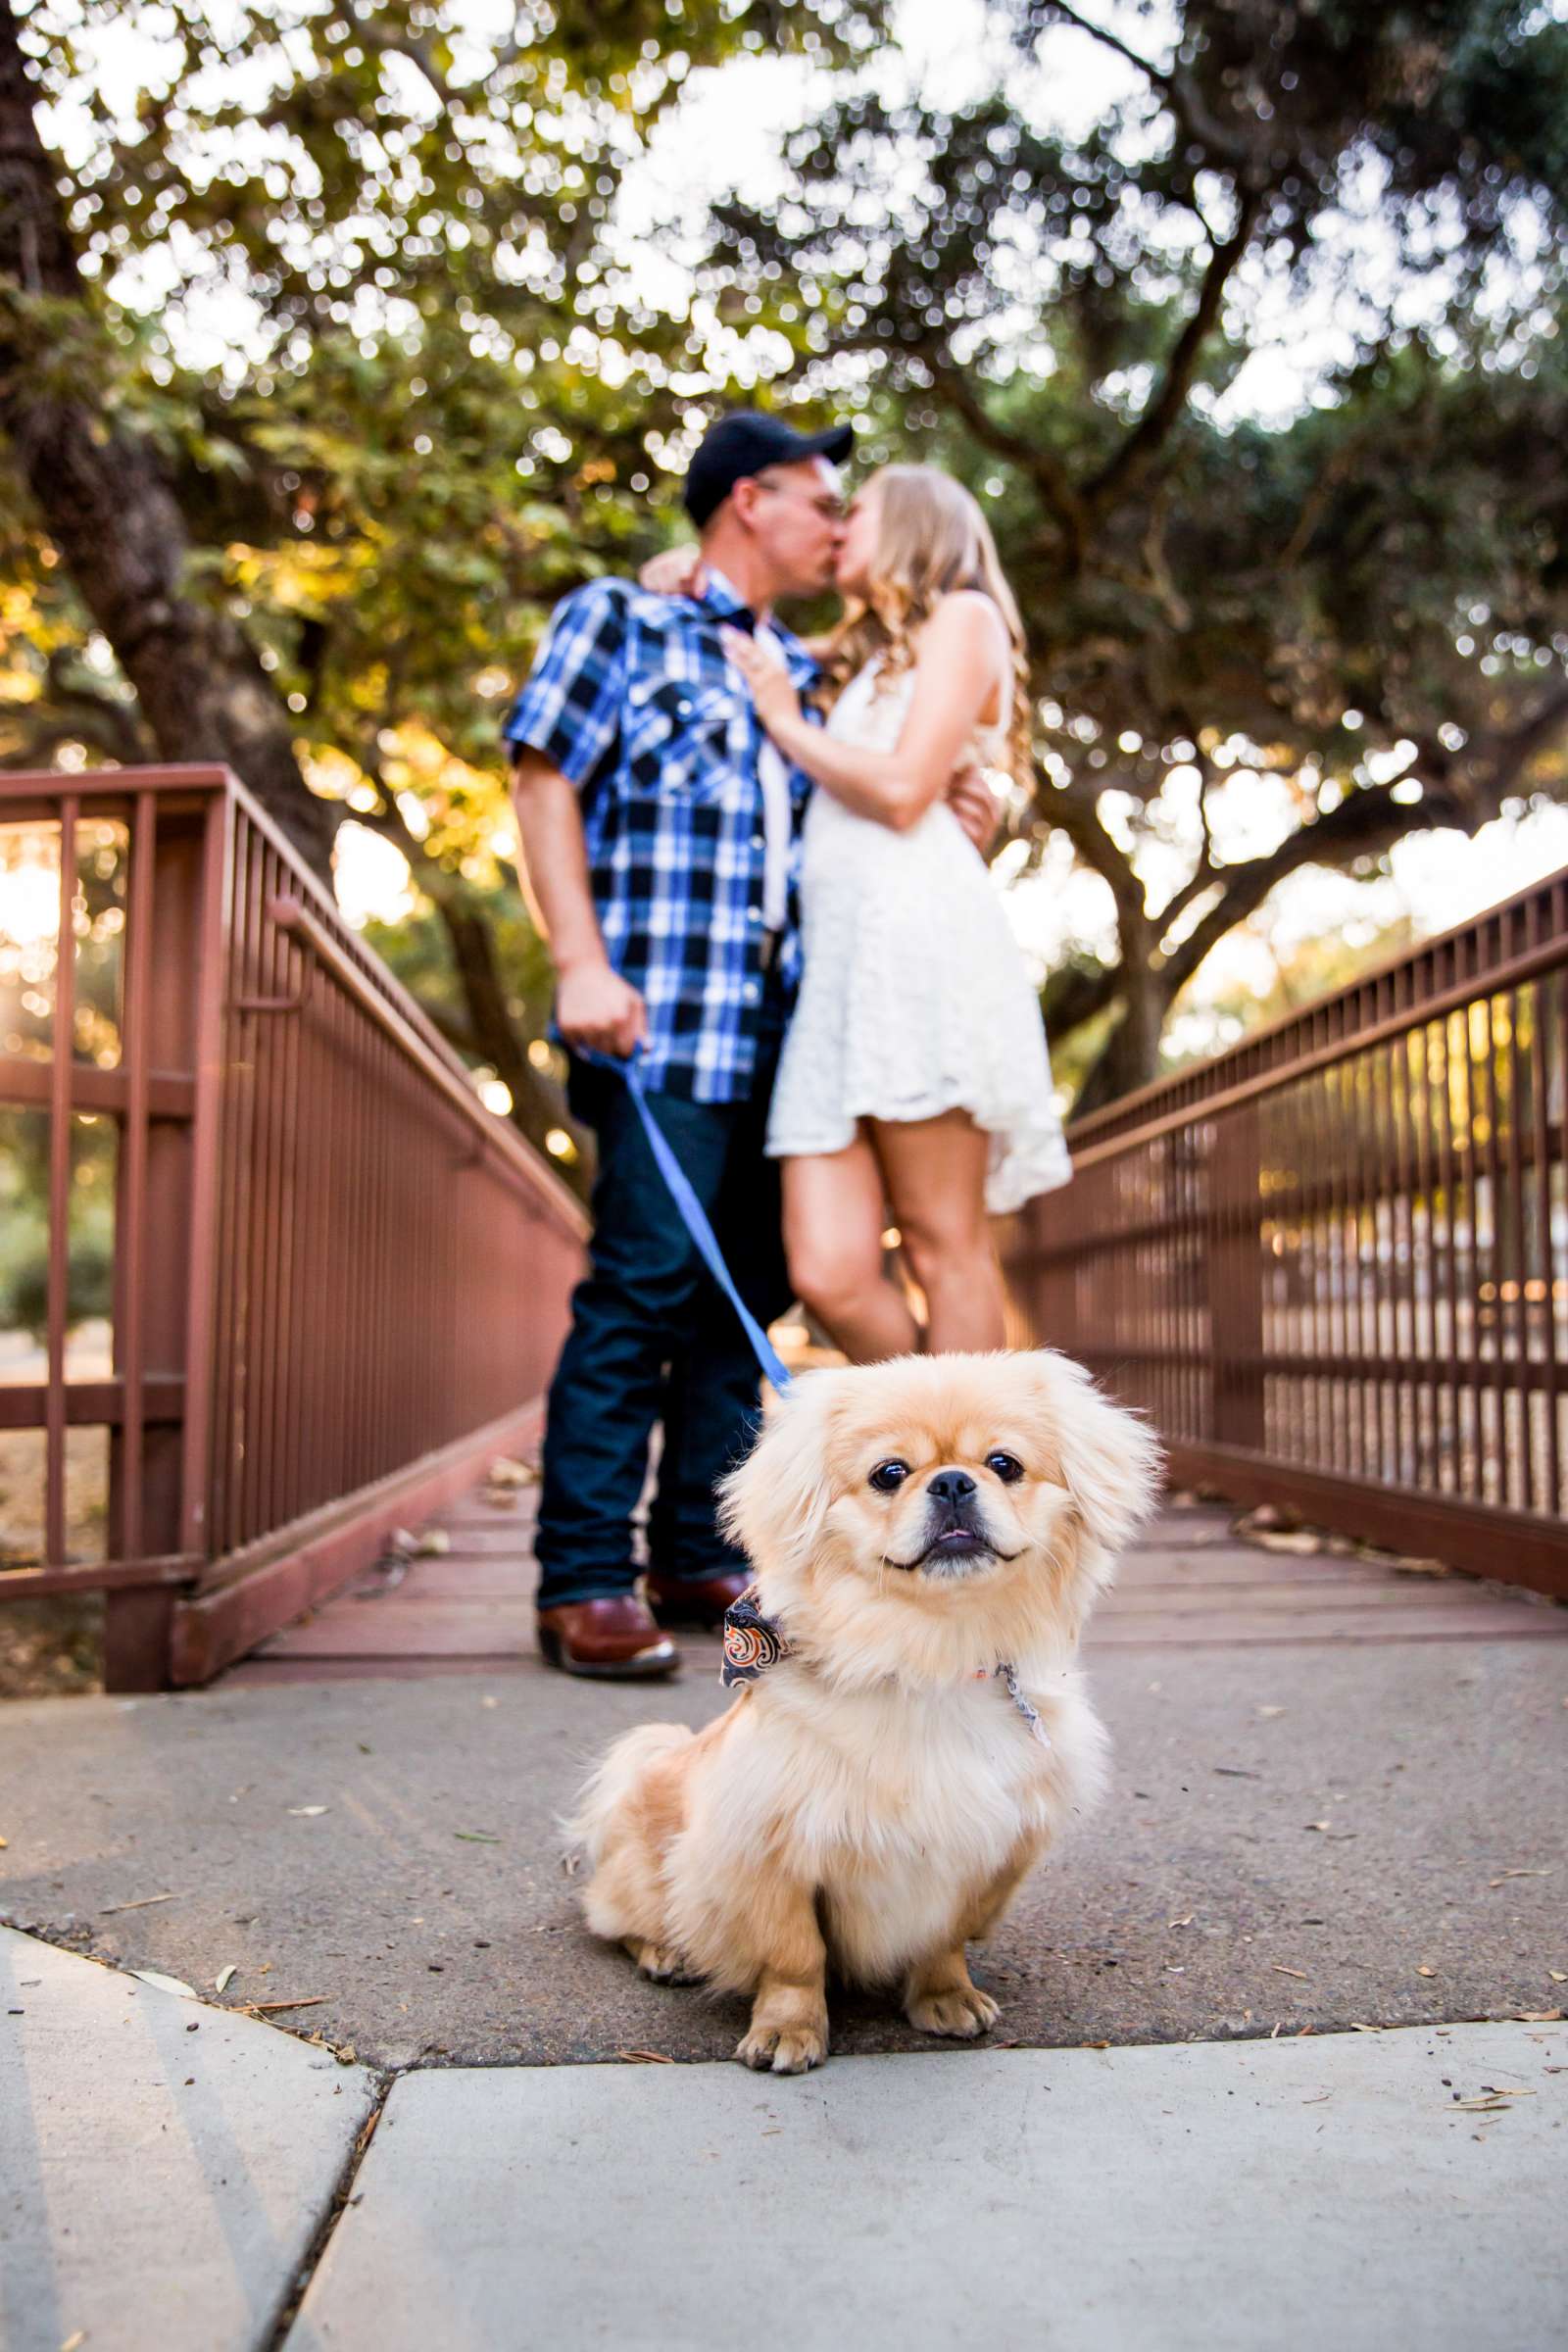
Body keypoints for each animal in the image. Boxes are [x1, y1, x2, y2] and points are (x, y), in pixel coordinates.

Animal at [570, 1354, 1161, 2070]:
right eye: (890, 1474)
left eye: (1004, 1464)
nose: (954, 1482)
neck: (929, 1659)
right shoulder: (770, 1848)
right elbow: (795, 1956)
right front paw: (788, 2031)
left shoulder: (989, 1847)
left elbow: (944, 1937)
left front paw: (944, 1997)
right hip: (652, 1872)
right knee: (615, 1915)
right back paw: (666, 1953)